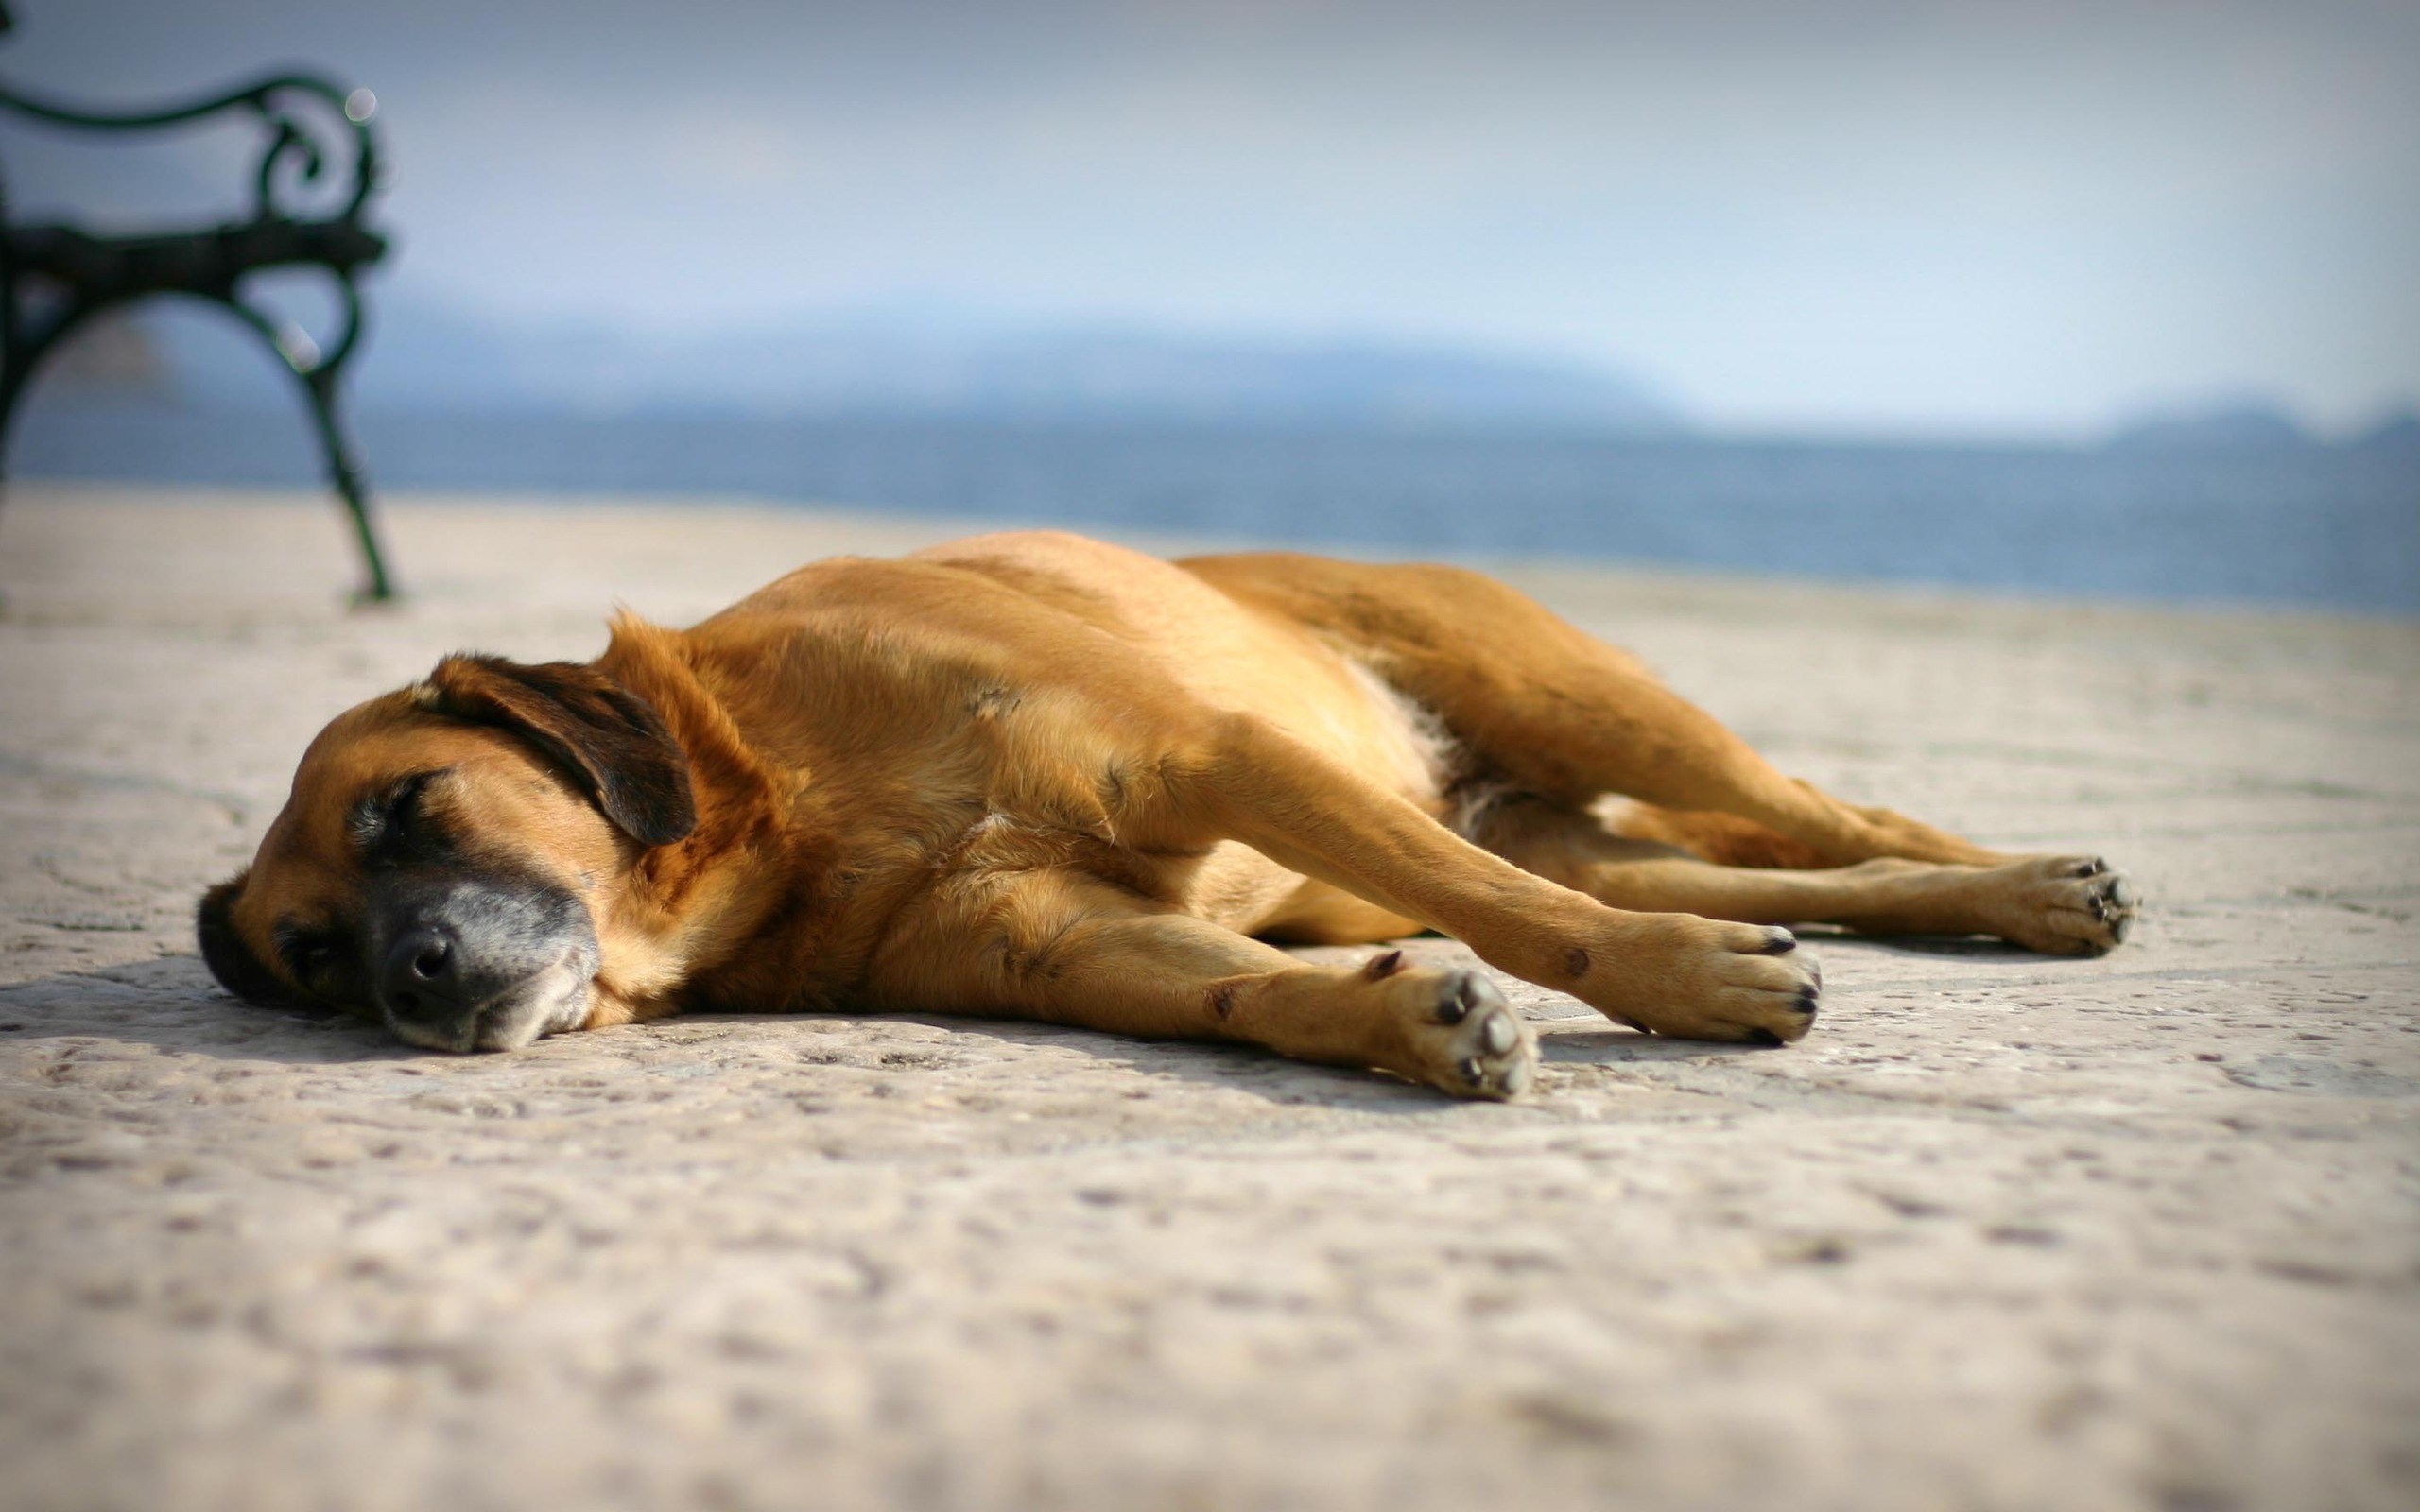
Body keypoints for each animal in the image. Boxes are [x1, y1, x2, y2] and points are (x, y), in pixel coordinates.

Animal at [203, 529, 2139, 1098]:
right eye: (312, 962)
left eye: (410, 808)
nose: (416, 981)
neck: (784, 802)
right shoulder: (1061, 948)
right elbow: (1242, 991)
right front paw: (1411, 1027)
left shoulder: (1212, 760)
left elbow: (1521, 924)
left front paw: (1671, 984)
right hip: (1545, 803)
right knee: (1815, 860)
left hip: (1591, 702)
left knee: (1830, 804)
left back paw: (2040, 887)